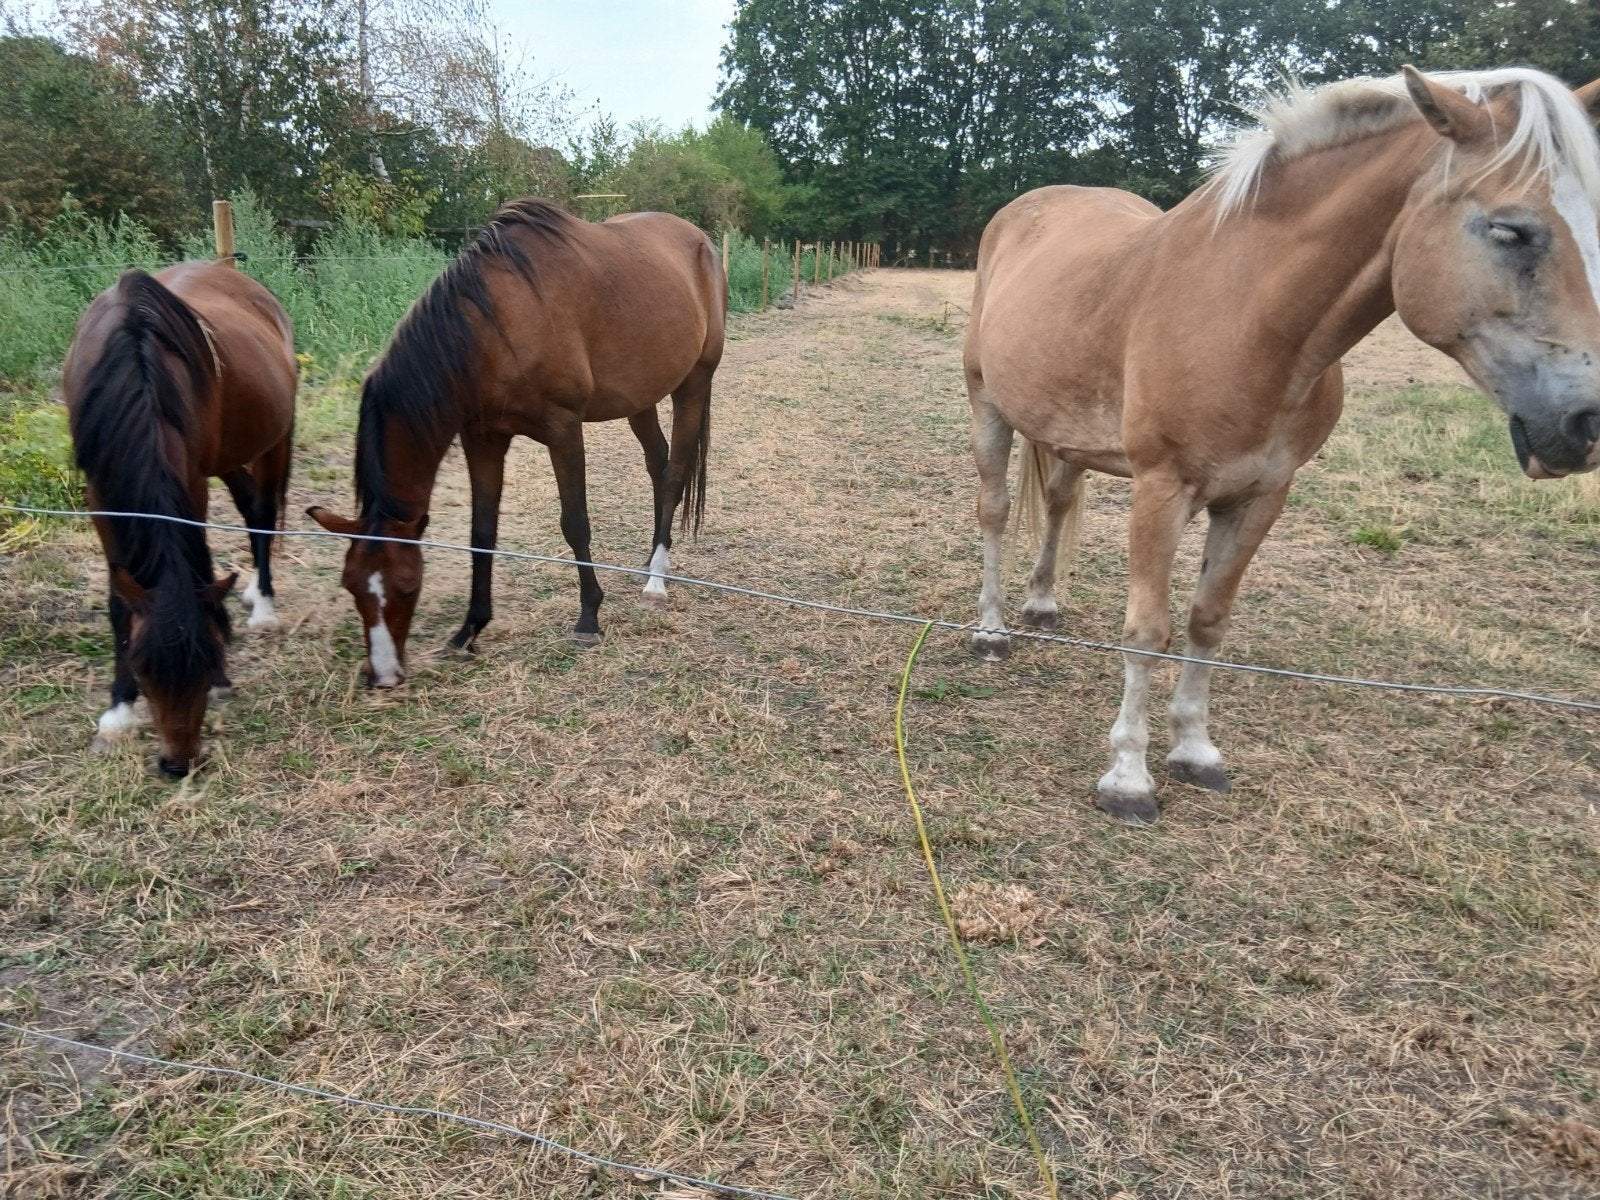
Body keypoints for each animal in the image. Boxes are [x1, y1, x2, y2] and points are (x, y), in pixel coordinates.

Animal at [64, 262, 297, 776]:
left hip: (273, 441)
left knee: (262, 514)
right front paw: (118, 711)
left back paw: (263, 604)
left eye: (208, 663)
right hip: (227, 454)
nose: (178, 764)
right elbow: (119, 601)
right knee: (249, 505)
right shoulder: (100, 494)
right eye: (142, 667)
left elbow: (202, 569)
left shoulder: (190, 482)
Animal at [307, 199, 726, 687]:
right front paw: (469, 630)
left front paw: (588, 620)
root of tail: (700, 241)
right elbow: (481, 532)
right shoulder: (483, 437)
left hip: (693, 384)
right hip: (639, 396)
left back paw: (656, 581)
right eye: (351, 586)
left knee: (675, 473)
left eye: (408, 588)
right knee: (658, 466)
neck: (496, 324)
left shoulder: (563, 430)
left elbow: (575, 523)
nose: (383, 676)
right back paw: (650, 560)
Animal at [964, 66, 1600, 825]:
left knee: (1059, 504)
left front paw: (1194, 751)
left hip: (1066, 433)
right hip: (988, 407)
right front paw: (1128, 778)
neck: (1249, 318)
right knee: (996, 511)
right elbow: (1147, 631)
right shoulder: (1162, 488)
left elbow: (1208, 620)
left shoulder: (1261, 495)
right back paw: (992, 632)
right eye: (1511, 230)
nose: (1586, 423)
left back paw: (1041, 604)